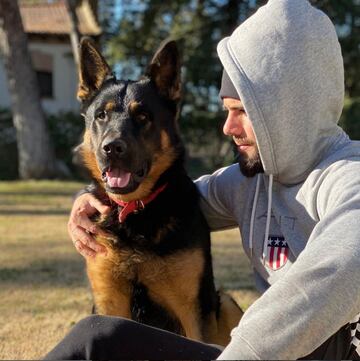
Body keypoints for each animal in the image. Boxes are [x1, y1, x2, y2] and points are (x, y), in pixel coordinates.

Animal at [76, 38, 242, 344]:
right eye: (101, 115)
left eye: (143, 116)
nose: (111, 148)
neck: (135, 211)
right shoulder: (108, 302)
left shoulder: (193, 308)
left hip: (224, 302)